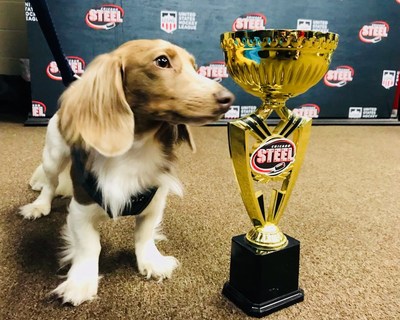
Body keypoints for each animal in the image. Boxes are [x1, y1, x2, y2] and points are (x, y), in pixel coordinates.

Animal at [20, 39, 234, 304]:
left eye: (194, 67)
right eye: (162, 61)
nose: (229, 98)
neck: (135, 148)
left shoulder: (156, 200)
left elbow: (144, 234)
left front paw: (151, 261)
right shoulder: (81, 207)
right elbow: (89, 246)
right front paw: (81, 282)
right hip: (53, 154)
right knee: (49, 184)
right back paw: (39, 206)